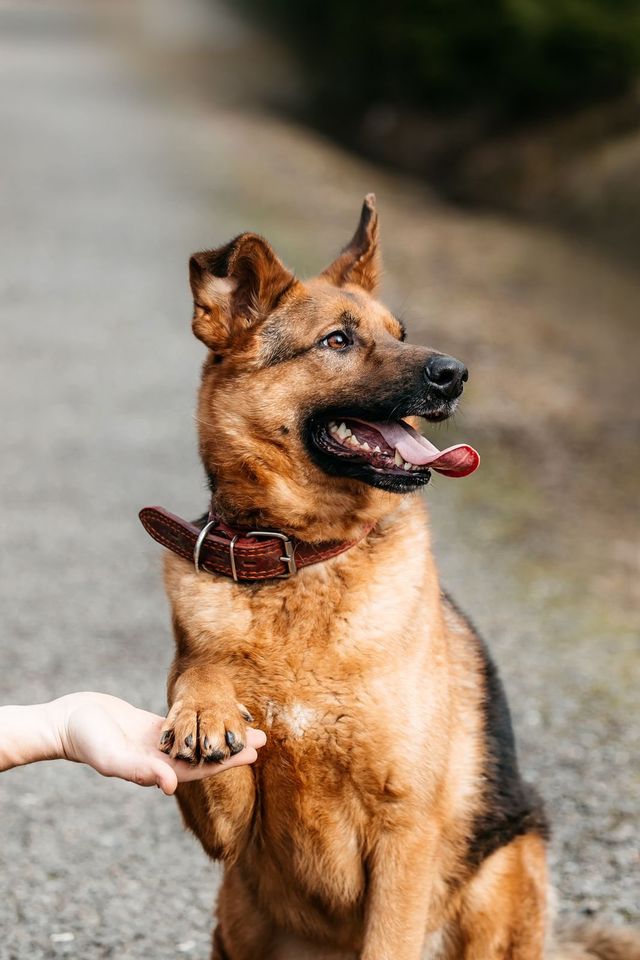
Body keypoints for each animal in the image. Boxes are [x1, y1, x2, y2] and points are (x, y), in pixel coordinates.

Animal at [141, 195, 640, 960]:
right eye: (337, 341)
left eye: (400, 334)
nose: (455, 373)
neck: (305, 558)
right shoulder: (226, 831)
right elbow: (203, 673)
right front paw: (205, 703)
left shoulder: (403, 835)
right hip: (238, 914)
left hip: (503, 875)